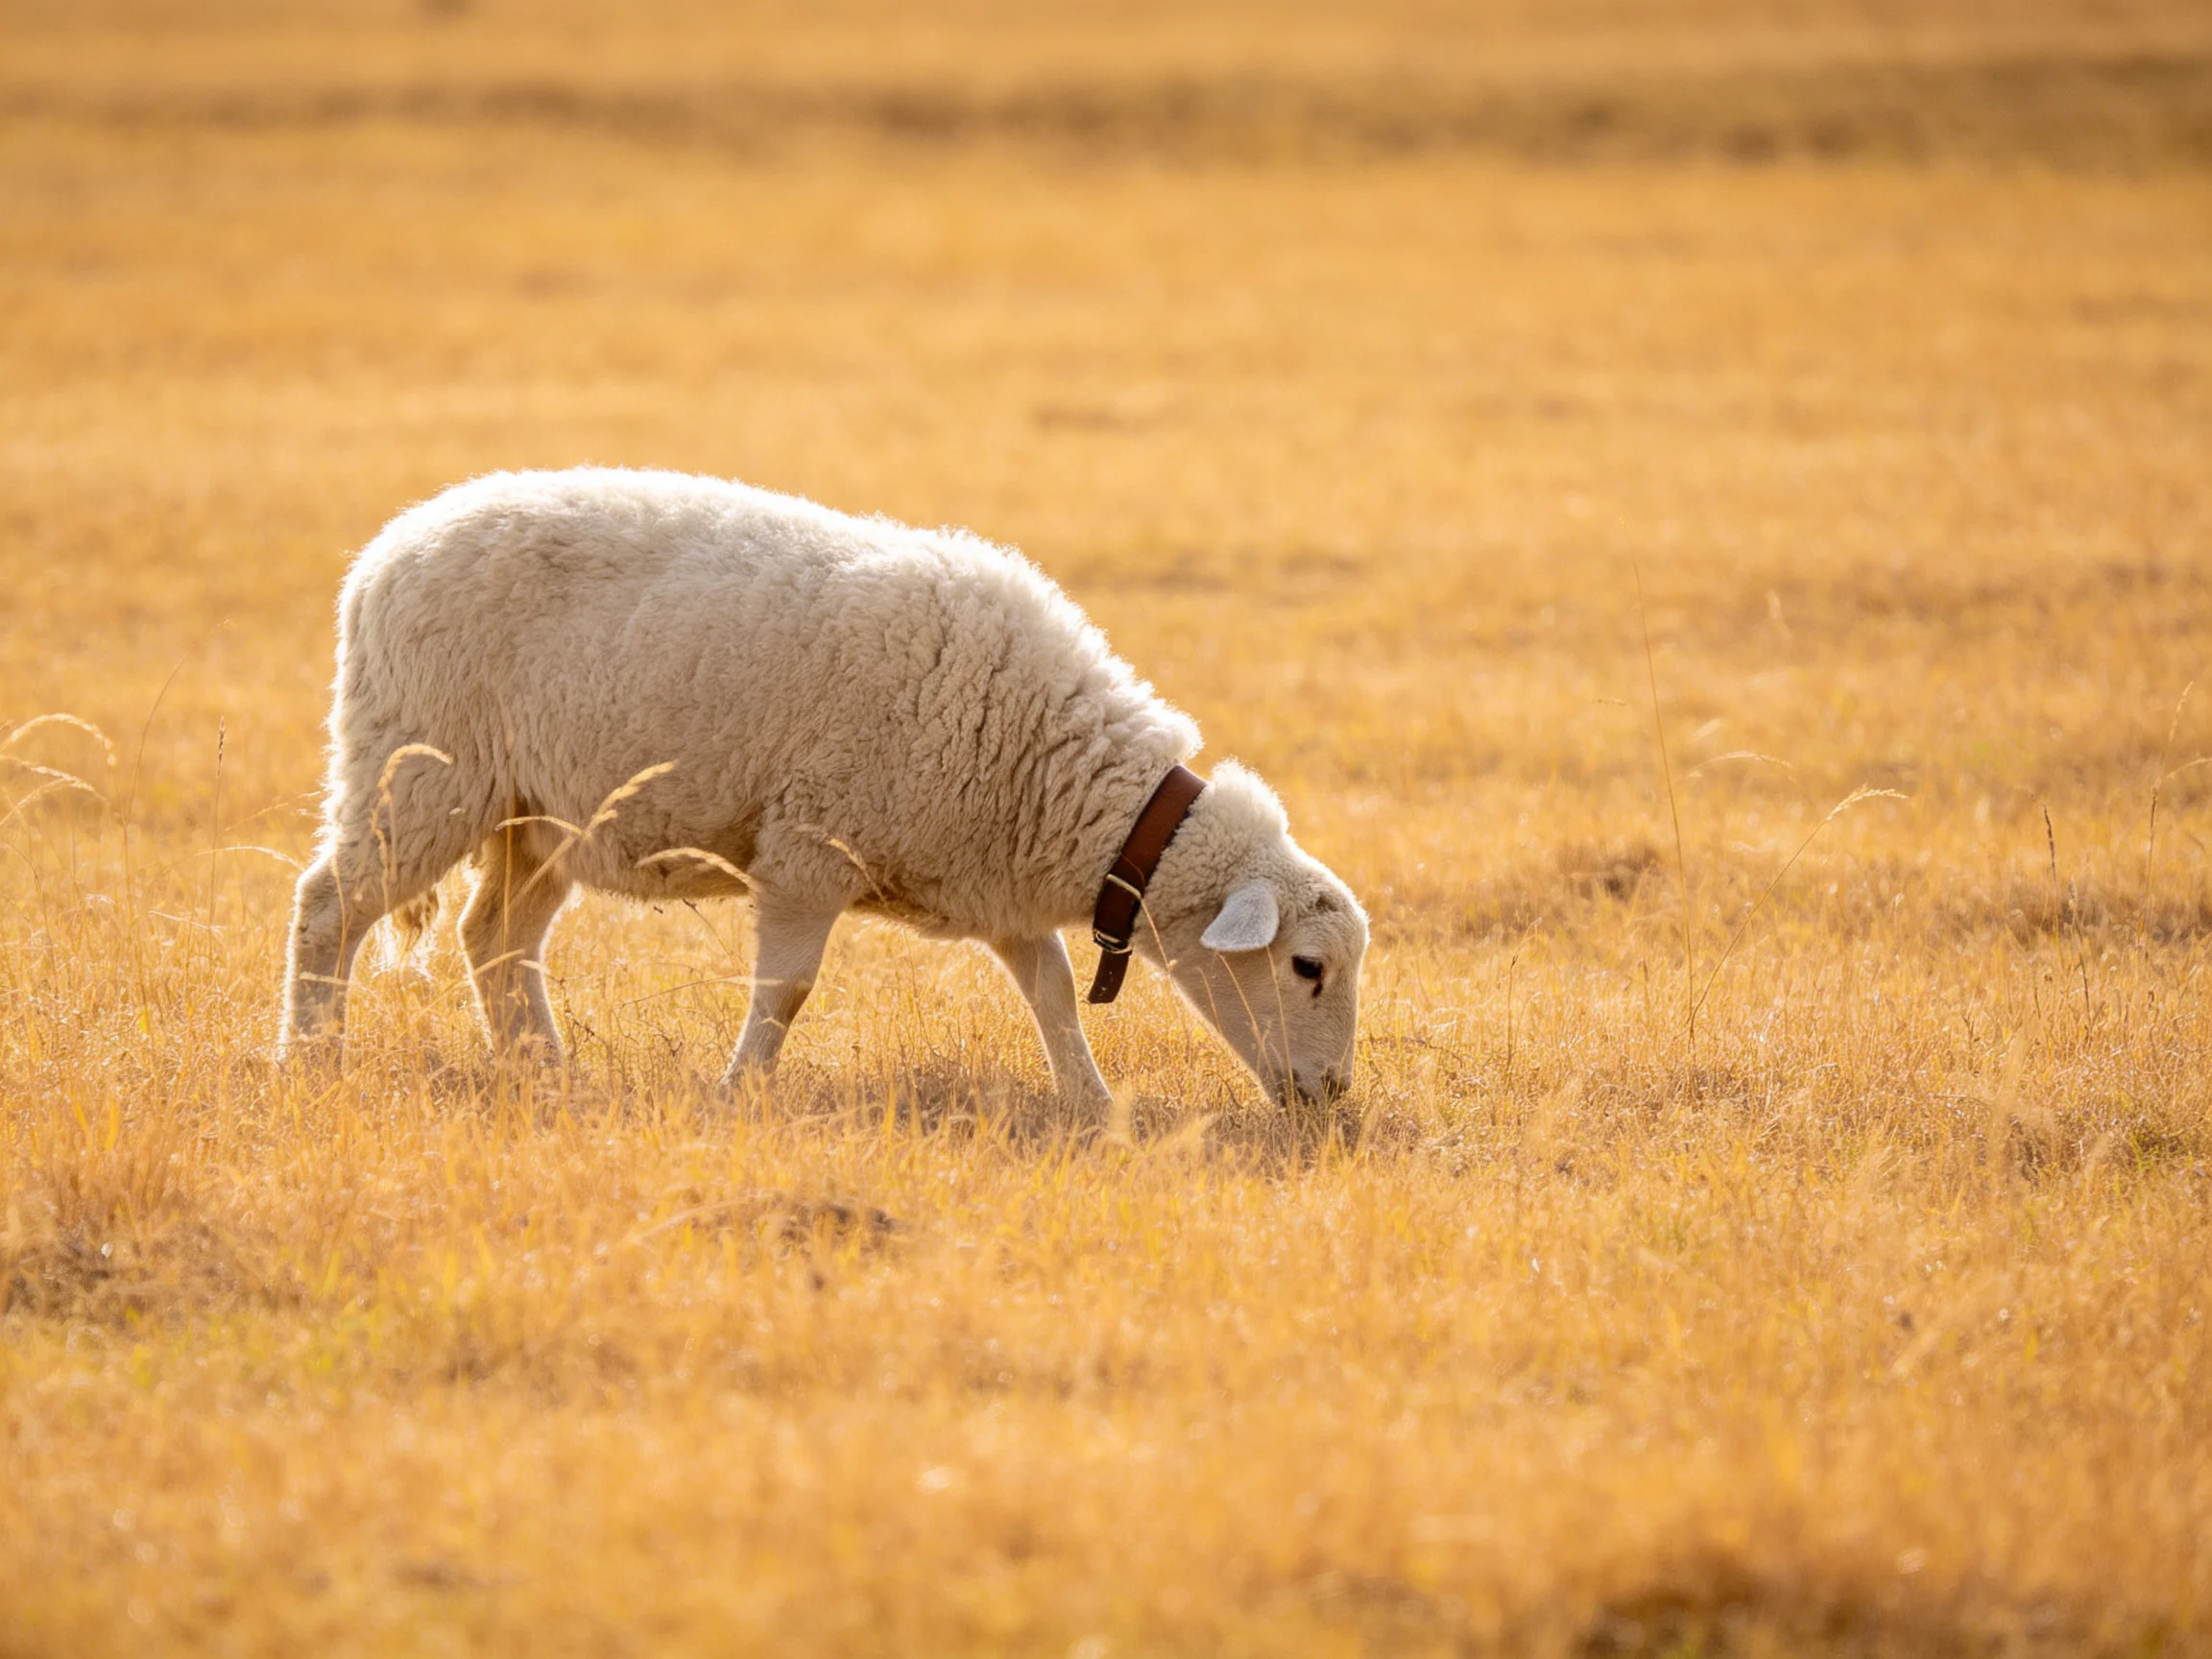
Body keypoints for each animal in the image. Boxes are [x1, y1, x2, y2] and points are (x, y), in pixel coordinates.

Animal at [278, 468, 1368, 1108]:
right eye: (1307, 967)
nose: (1331, 1098)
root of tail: (385, 551)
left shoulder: (997, 882)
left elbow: (1053, 992)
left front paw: (1095, 1109)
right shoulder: (808, 849)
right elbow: (788, 989)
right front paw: (741, 1093)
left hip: (542, 814)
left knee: (495, 939)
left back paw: (545, 1073)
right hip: (419, 770)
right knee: (330, 905)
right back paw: (311, 1058)